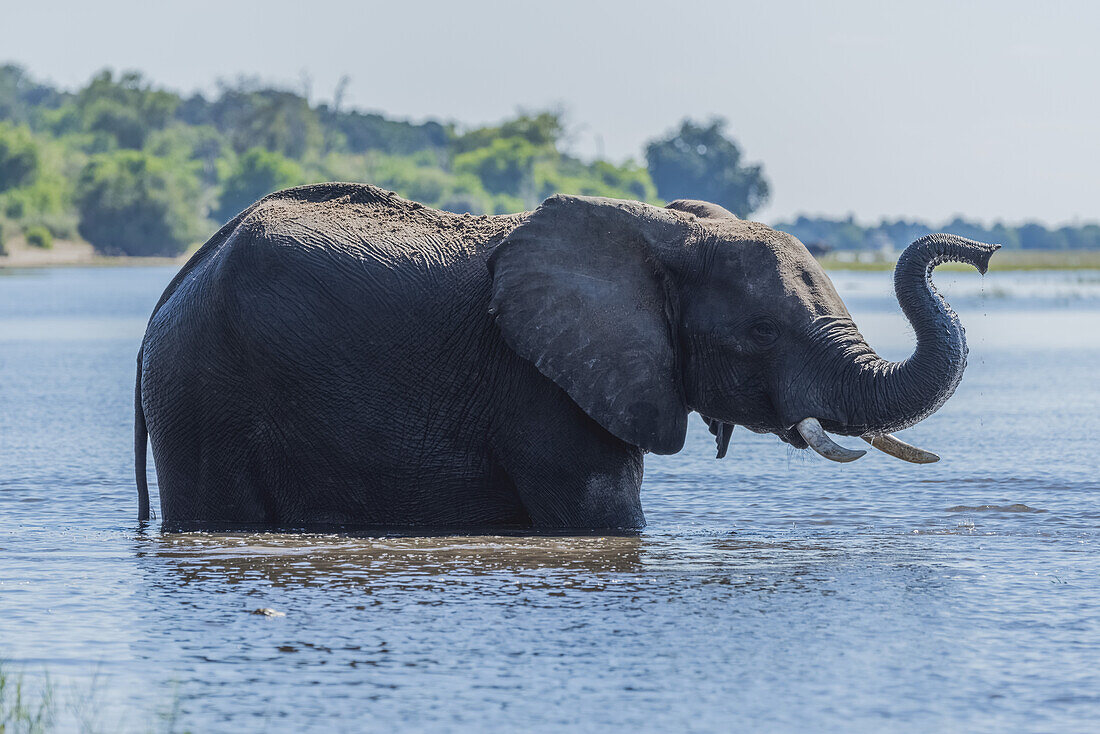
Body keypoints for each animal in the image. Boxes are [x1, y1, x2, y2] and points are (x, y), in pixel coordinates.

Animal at [135, 181, 998, 530]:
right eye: (761, 332)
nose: (984, 251)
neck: (663, 231)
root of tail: (167, 298)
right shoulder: (540, 384)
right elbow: (604, 515)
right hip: (205, 396)